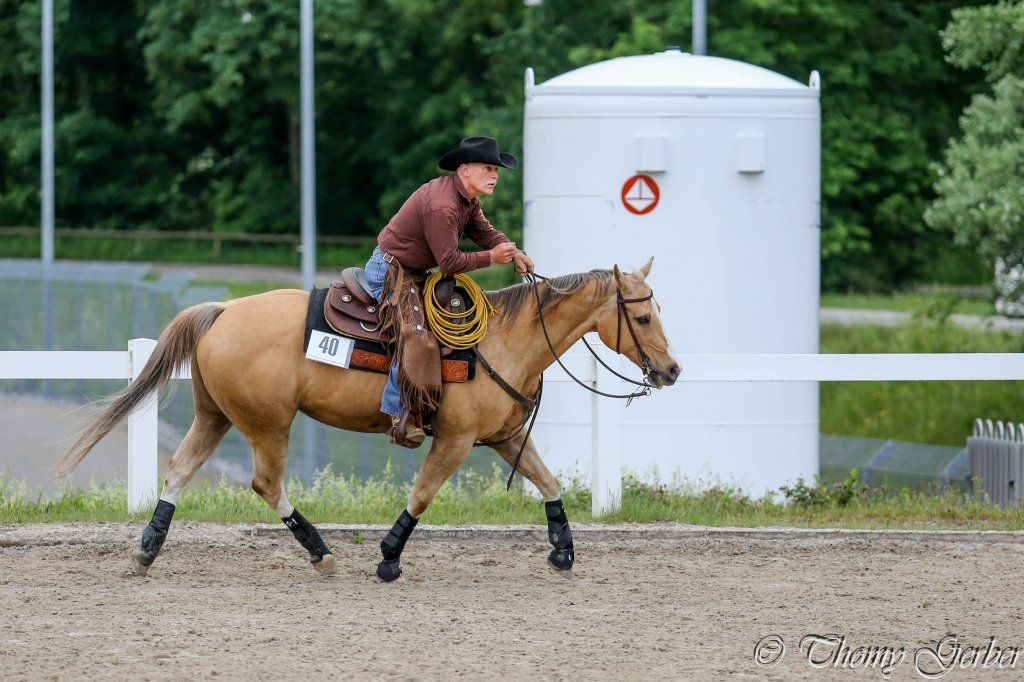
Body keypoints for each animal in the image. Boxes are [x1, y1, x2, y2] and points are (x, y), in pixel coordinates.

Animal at [60, 257, 679, 581]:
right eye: (645, 316)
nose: (672, 370)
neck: (502, 342)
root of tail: (223, 310)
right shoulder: (455, 441)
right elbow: (423, 495)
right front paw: (387, 557)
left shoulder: (503, 438)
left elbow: (548, 482)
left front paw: (563, 549)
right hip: (268, 423)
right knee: (266, 483)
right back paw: (319, 551)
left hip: (215, 416)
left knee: (180, 470)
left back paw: (147, 549)